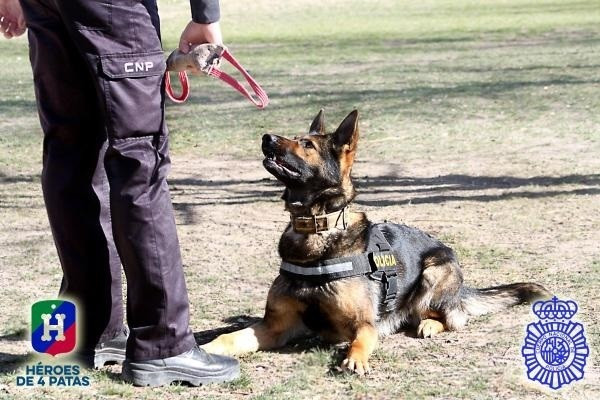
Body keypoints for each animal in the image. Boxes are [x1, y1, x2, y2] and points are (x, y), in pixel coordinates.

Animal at [203, 110, 552, 376]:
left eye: (307, 144)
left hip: (433, 272)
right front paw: (205, 349)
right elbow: (229, 338)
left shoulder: (364, 324)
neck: (315, 230)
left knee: (453, 318)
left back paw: (429, 325)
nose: (266, 137)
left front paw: (355, 359)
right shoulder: (275, 327)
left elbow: (362, 340)